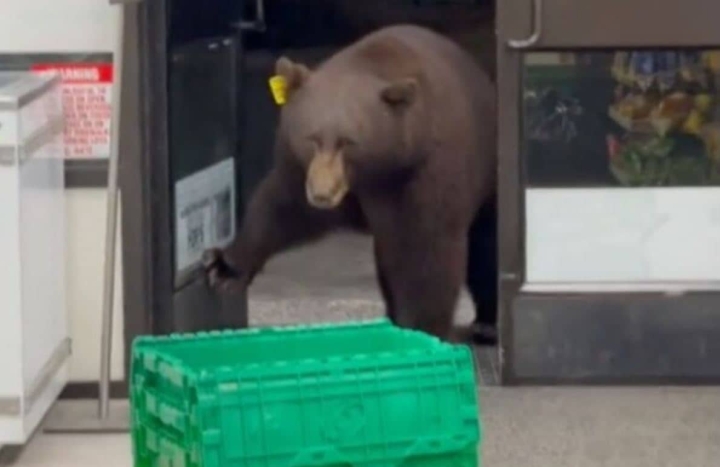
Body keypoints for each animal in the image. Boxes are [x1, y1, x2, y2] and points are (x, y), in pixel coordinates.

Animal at [201, 23, 496, 342]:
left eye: (348, 142)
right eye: (312, 139)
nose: (321, 194)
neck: (377, 171)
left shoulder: (424, 172)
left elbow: (429, 249)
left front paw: (422, 327)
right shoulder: (300, 166)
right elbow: (282, 208)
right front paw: (224, 266)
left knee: (485, 242)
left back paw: (486, 323)